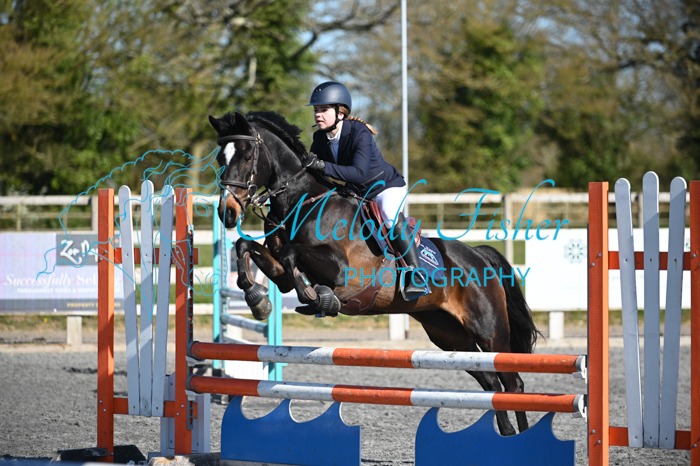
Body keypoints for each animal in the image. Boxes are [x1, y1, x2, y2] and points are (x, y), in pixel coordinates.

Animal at [209, 110, 541, 436]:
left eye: (247, 155)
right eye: (221, 157)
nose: (227, 212)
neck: (303, 202)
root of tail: (478, 257)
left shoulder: (342, 271)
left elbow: (293, 256)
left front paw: (318, 299)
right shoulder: (279, 271)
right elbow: (246, 246)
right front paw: (258, 300)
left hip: (489, 330)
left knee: (512, 382)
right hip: (449, 336)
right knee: (491, 382)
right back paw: (507, 435)